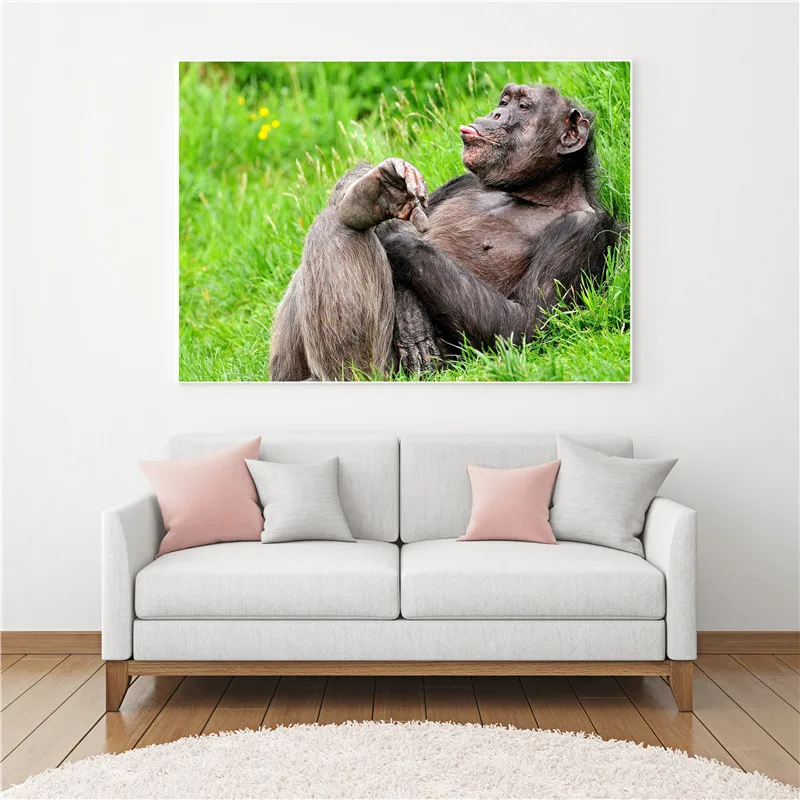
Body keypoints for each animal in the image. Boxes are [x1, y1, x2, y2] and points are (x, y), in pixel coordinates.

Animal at [269, 83, 622, 381]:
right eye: (504, 102)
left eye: (523, 107)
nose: (496, 114)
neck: (529, 193)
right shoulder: (461, 182)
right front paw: (384, 191)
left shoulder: (581, 232)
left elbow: (525, 324)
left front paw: (398, 244)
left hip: (385, 370)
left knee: (339, 229)